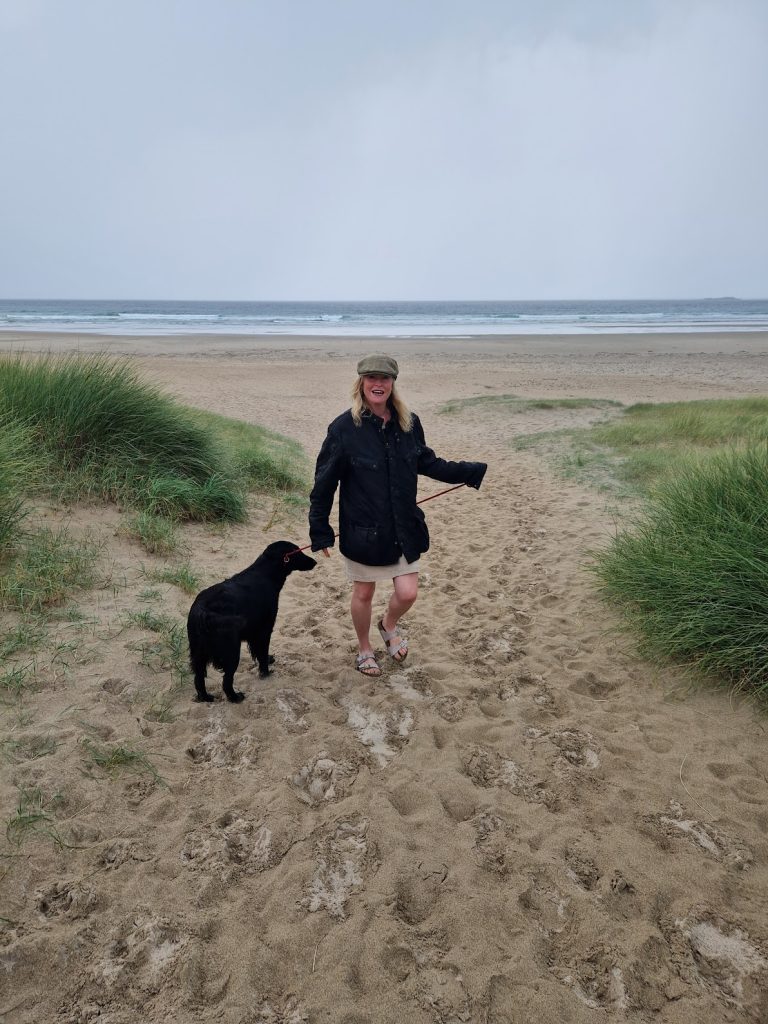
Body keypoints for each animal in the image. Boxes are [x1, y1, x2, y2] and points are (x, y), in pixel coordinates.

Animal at [188, 536, 317, 704]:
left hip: (198, 654)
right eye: (297, 552)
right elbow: (262, 652)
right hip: (231, 651)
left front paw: (268, 660)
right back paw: (235, 697)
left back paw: (205, 697)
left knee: (199, 679)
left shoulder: (254, 632)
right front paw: (266, 672)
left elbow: (259, 652)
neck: (265, 574)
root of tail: (202, 610)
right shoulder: (265, 629)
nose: (314, 561)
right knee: (226, 681)